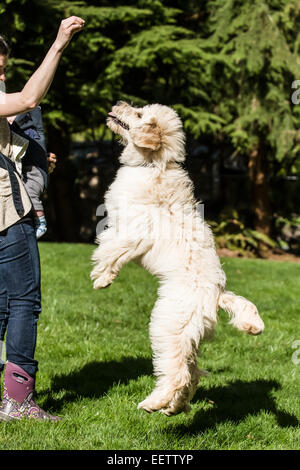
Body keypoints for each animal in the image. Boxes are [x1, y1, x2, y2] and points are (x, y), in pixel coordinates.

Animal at [89, 102, 264, 414]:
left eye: (138, 115)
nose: (118, 104)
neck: (153, 165)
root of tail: (216, 296)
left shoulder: (133, 231)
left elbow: (111, 249)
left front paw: (102, 278)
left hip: (167, 327)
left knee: (179, 373)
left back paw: (154, 403)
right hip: (187, 337)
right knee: (191, 373)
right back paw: (173, 407)